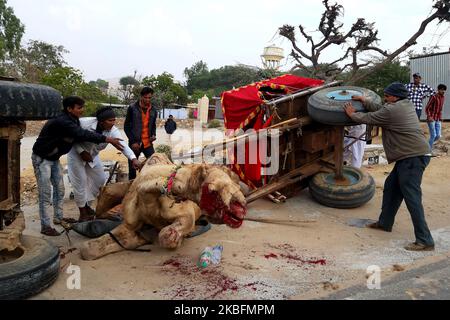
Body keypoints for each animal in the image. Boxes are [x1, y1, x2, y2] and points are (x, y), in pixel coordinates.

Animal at [82, 154, 248, 262]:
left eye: (236, 185)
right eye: (212, 190)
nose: (241, 209)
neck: (148, 194)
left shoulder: (185, 213)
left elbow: (166, 235)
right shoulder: (129, 224)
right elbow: (88, 249)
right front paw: (139, 238)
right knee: (107, 191)